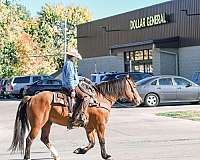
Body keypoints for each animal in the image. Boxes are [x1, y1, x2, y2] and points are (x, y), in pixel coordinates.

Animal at [9, 77, 142, 159]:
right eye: (134, 87)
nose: (140, 100)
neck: (100, 99)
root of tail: (31, 98)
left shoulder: (89, 127)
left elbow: (92, 142)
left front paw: (79, 150)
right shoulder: (100, 124)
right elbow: (102, 140)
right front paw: (105, 155)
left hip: (47, 123)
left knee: (44, 138)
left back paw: (56, 155)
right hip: (37, 124)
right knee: (29, 139)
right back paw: (27, 157)